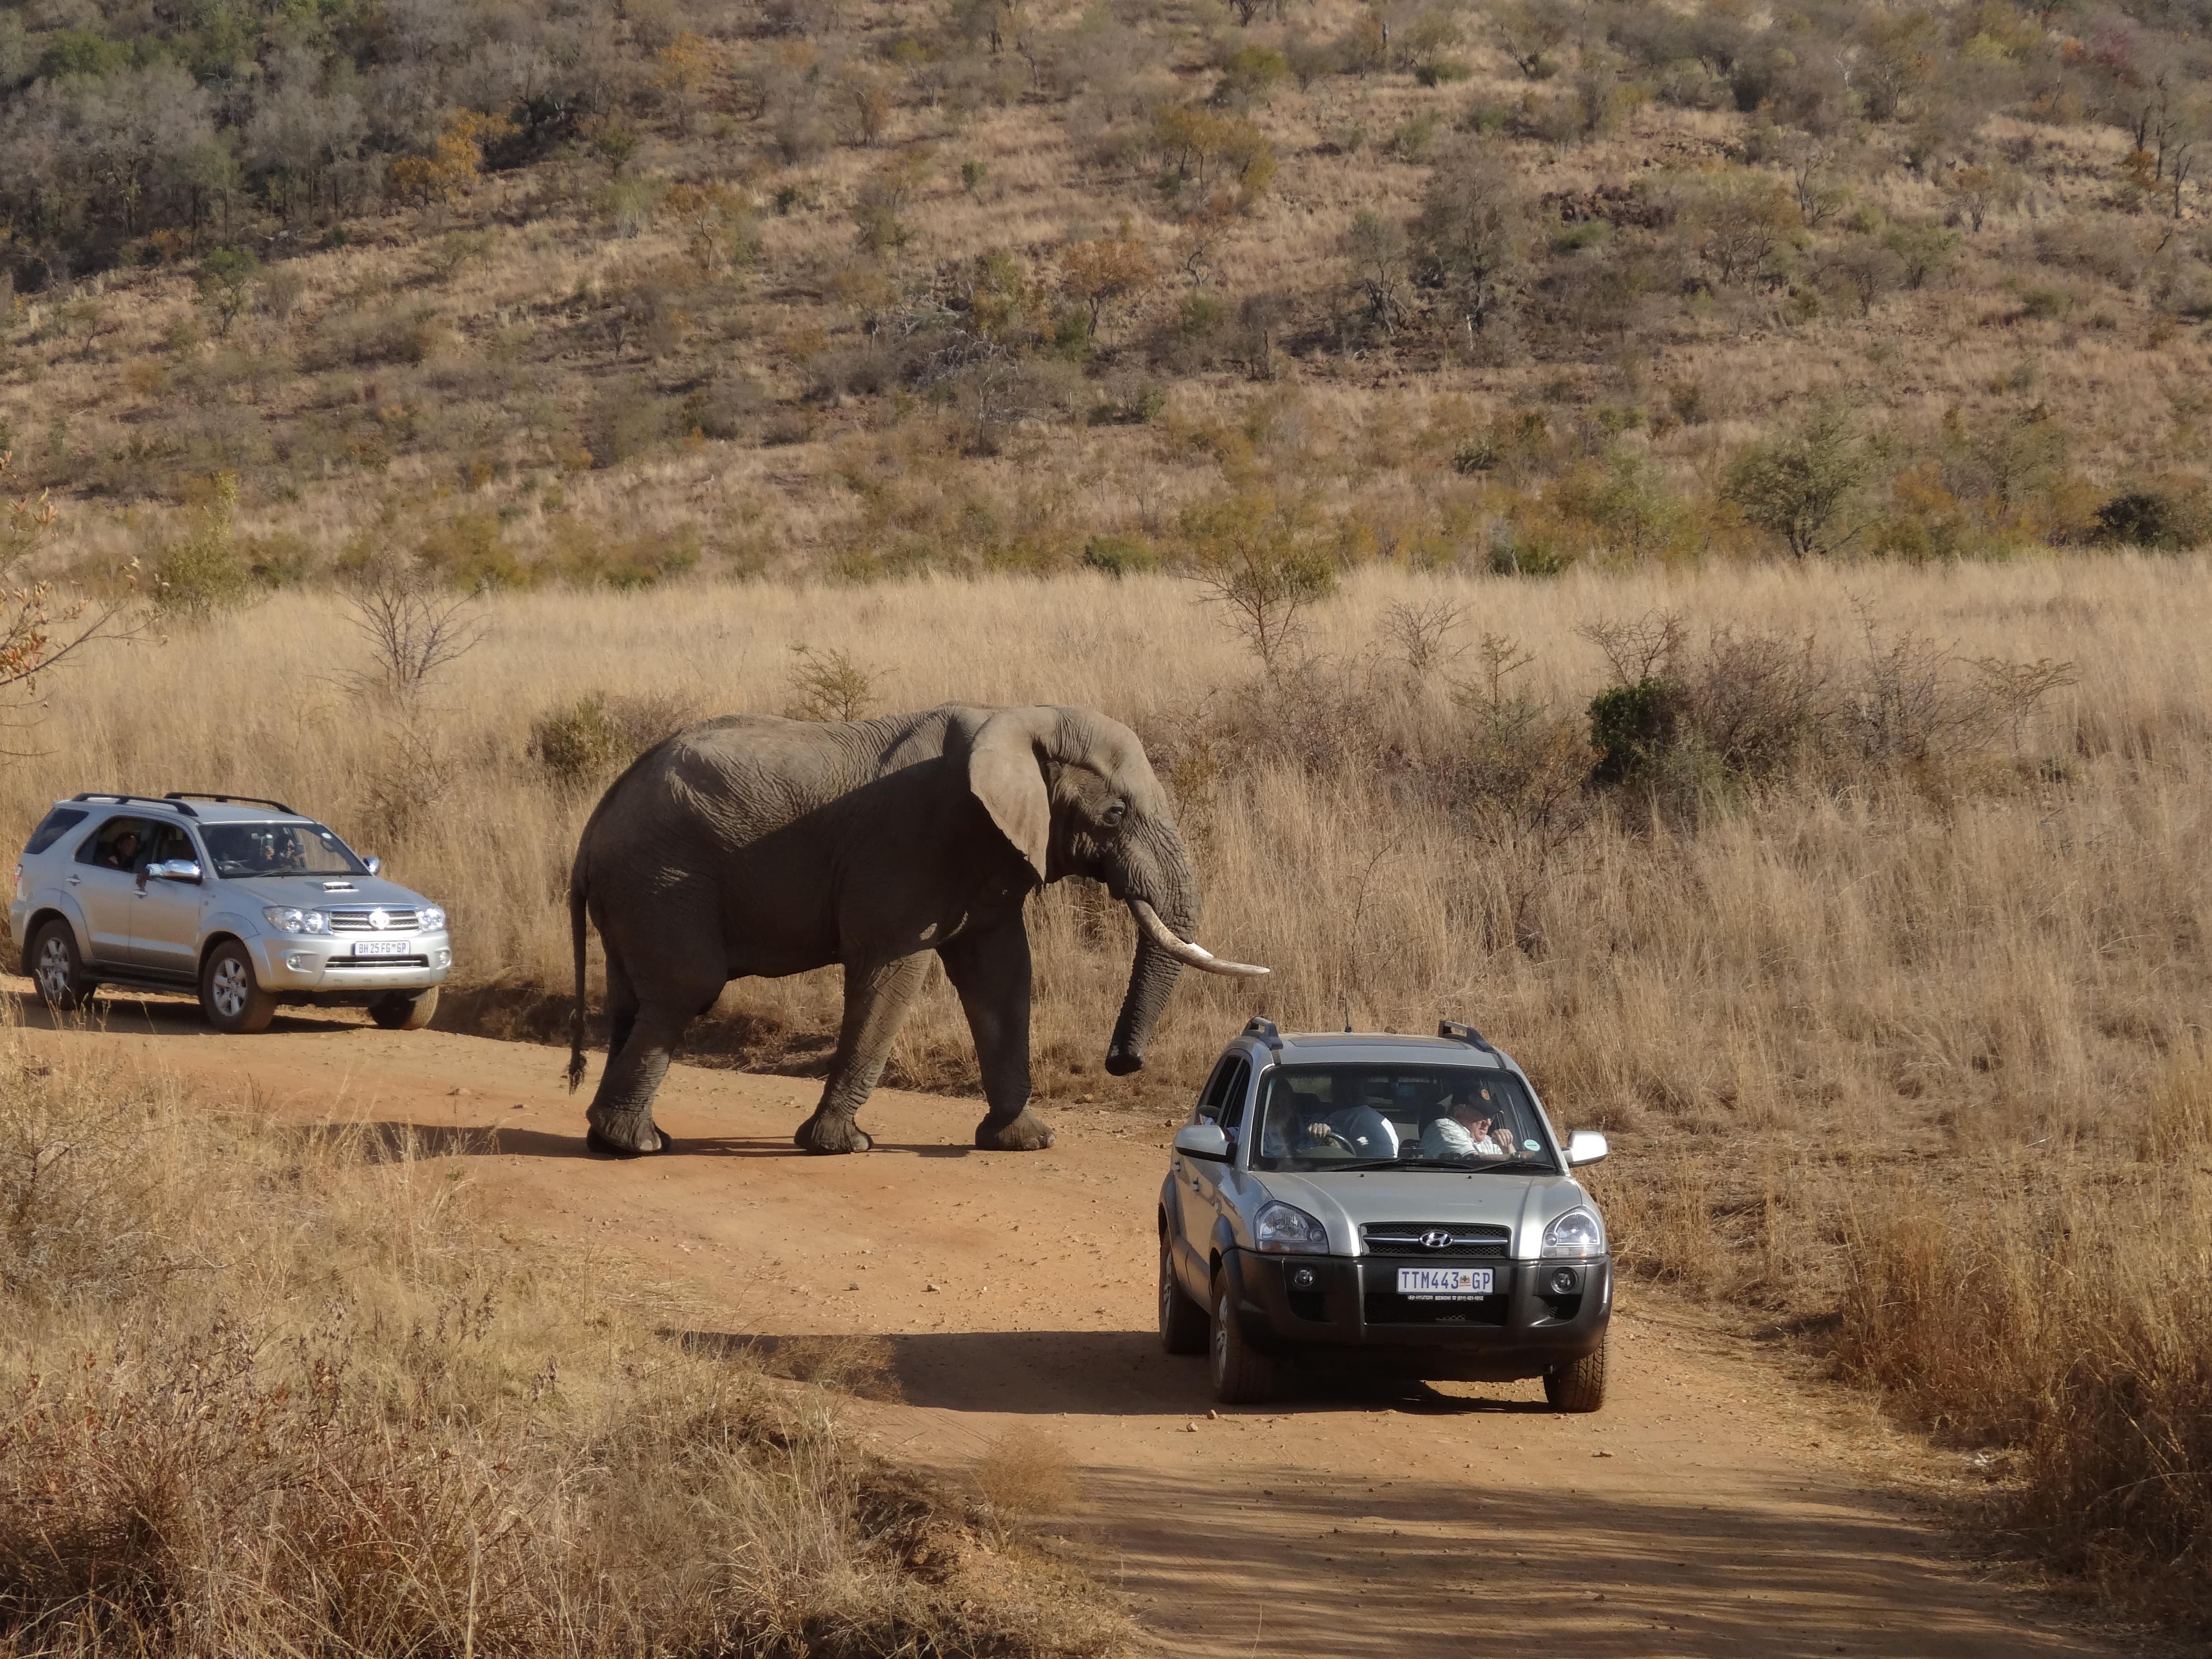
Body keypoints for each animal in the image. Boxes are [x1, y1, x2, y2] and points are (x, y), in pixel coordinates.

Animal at [564, 703, 1267, 1156]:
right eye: (1116, 813)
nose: (1124, 1062)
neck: (1018, 718)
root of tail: (594, 823)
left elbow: (1002, 976)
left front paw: (1026, 1142)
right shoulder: (908, 846)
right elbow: (893, 971)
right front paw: (844, 1146)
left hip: (639, 891)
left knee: (632, 1000)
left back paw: (611, 1140)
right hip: (664, 878)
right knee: (687, 989)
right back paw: (639, 1145)